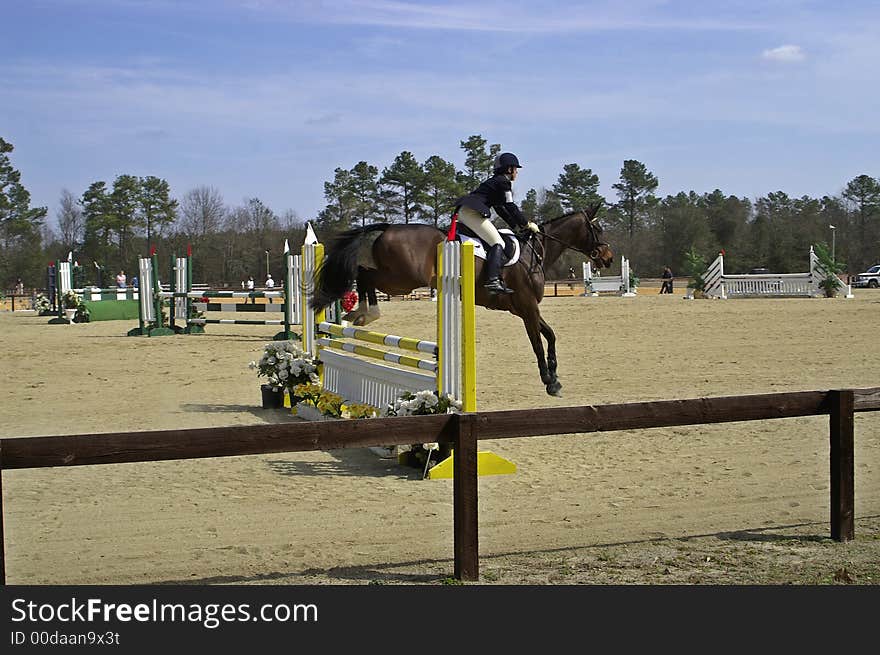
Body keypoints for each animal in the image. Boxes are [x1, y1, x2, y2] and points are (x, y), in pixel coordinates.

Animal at [310, 205, 612, 398]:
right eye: (597, 229)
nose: (608, 258)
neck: (534, 253)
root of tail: (387, 228)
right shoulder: (528, 308)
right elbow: (538, 342)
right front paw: (549, 381)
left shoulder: (523, 309)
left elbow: (550, 335)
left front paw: (555, 377)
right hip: (401, 279)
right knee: (365, 275)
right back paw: (367, 312)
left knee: (364, 274)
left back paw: (360, 313)